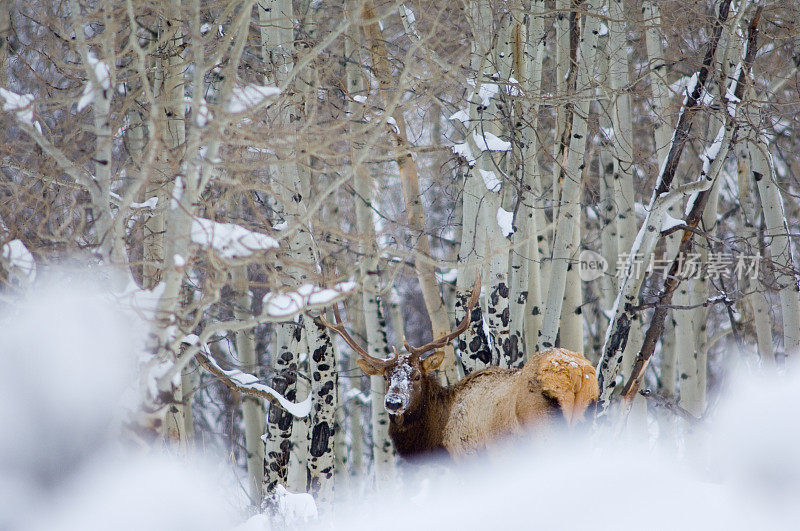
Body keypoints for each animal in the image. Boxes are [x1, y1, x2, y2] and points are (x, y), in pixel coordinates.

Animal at [316, 278, 596, 462]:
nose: (394, 402)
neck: (437, 437)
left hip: (543, 428)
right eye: (386, 377)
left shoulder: (469, 456)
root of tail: (576, 376)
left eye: (416, 376)